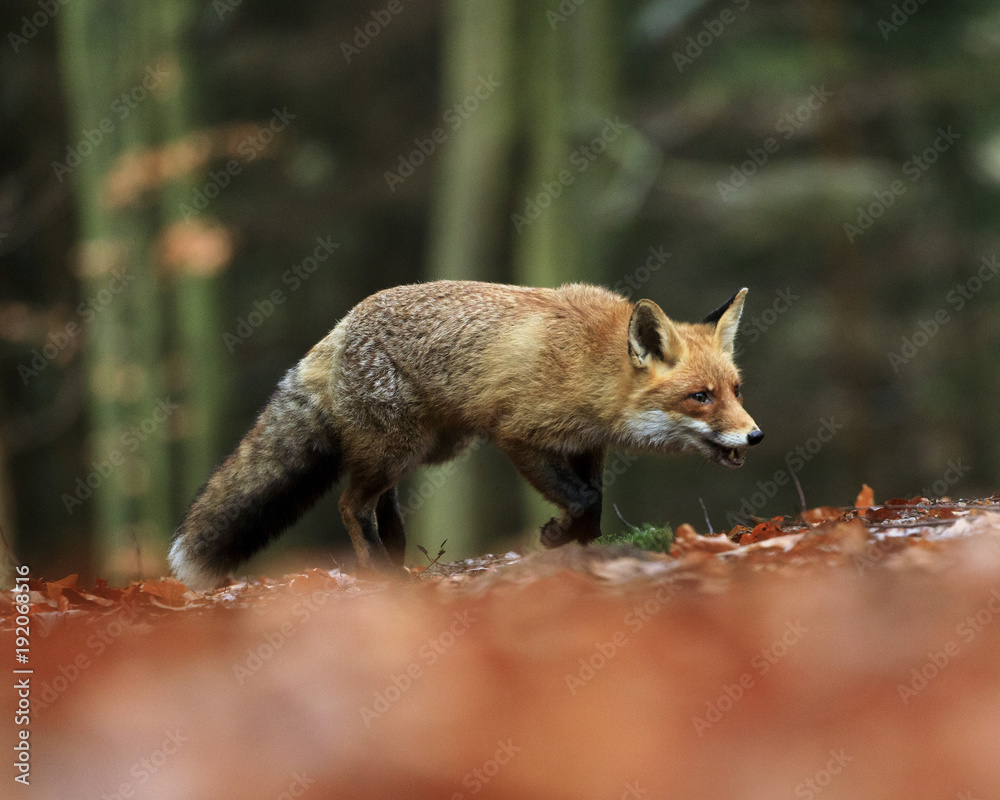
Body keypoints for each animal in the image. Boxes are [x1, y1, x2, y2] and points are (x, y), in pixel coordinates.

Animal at [168, 280, 763, 589]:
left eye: (735, 390)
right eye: (701, 397)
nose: (755, 436)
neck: (589, 362)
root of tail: (337, 328)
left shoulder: (585, 445)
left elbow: (594, 501)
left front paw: (578, 546)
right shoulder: (519, 435)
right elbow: (583, 498)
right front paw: (558, 537)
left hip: (425, 450)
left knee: (381, 503)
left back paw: (397, 555)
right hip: (399, 448)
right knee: (349, 503)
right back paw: (378, 572)